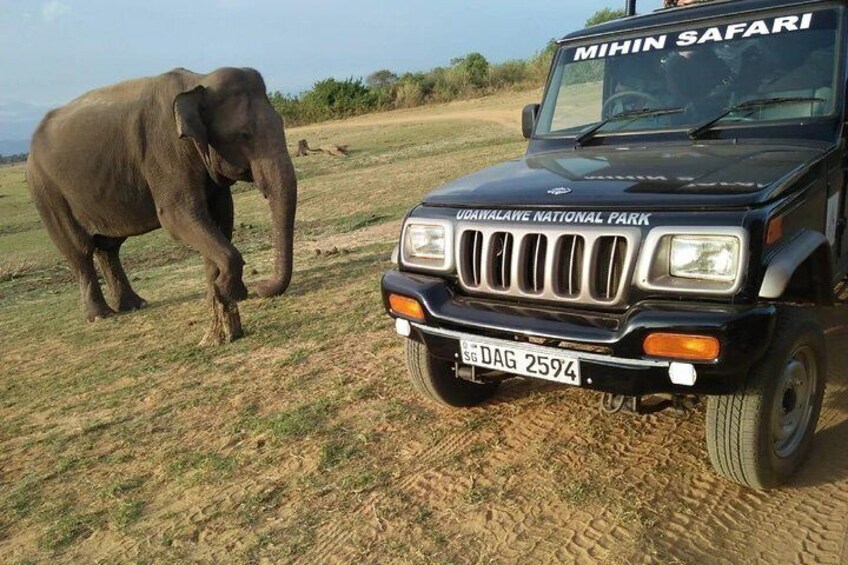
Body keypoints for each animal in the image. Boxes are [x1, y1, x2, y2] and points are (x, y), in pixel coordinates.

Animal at [26, 67, 296, 330]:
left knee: (109, 248)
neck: (198, 81)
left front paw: (220, 294)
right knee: (79, 249)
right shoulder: (164, 152)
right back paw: (100, 316)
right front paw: (227, 292)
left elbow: (222, 214)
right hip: (47, 191)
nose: (261, 286)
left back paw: (134, 305)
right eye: (244, 135)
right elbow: (177, 216)